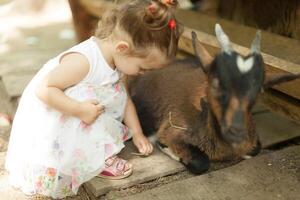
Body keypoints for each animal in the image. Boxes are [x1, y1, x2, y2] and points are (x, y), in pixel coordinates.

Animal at [129, 23, 300, 173]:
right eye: (216, 84)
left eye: (257, 91)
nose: (236, 129)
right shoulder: (173, 130)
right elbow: (201, 162)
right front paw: (163, 146)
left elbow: (255, 149)